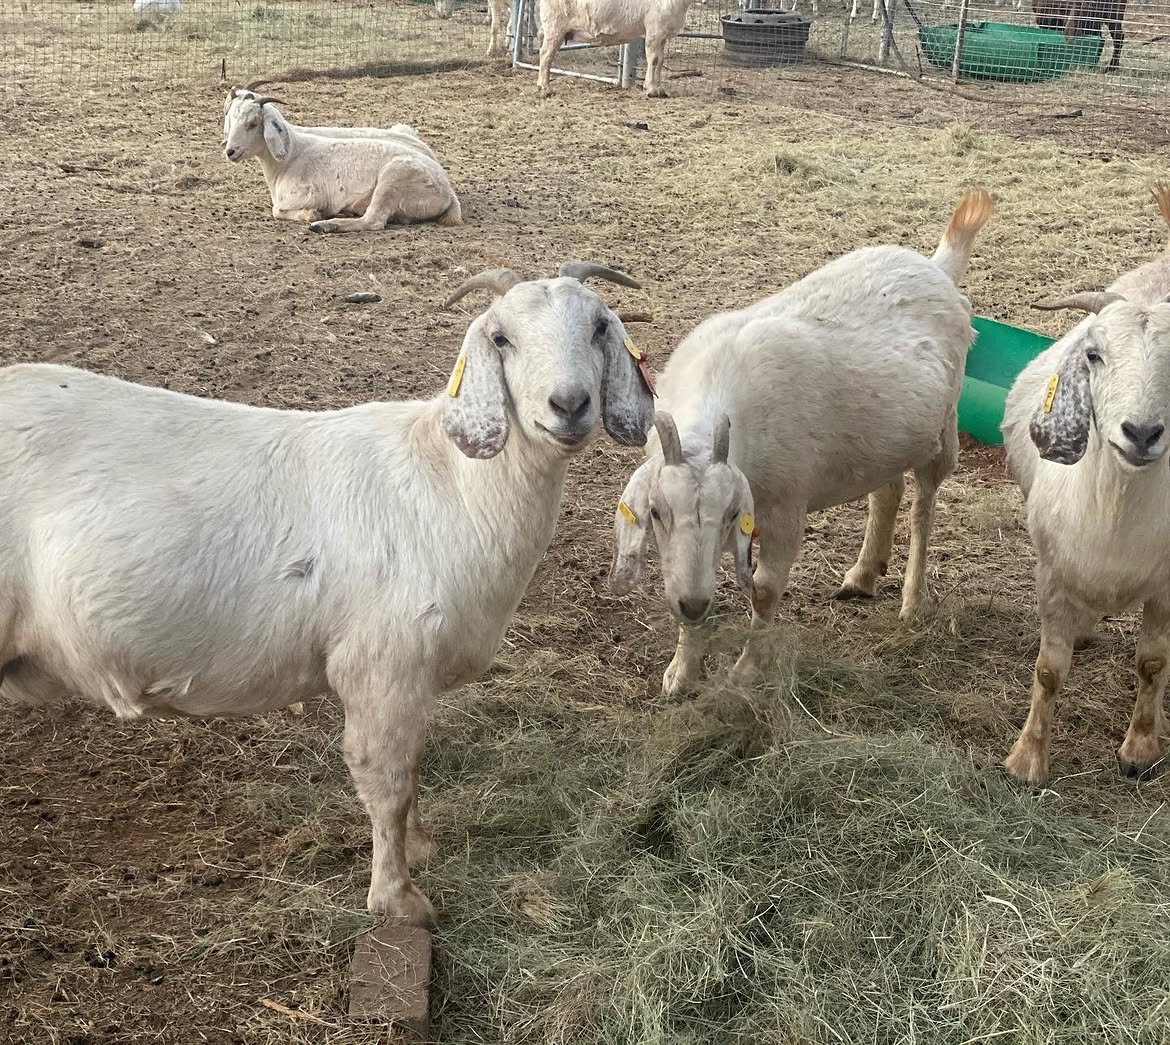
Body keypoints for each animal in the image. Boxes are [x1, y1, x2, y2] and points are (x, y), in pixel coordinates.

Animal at [0, 263, 654, 924]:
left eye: (600, 327)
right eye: (501, 338)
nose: (569, 405)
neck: (453, 486)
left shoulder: (412, 676)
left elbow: (413, 764)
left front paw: (419, 846)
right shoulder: (381, 664)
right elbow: (386, 780)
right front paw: (398, 898)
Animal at [222, 92, 461, 234]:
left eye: (253, 123)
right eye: (230, 119)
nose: (230, 151)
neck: (290, 156)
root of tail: (447, 191)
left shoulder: (309, 194)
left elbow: (277, 210)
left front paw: (312, 215)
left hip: (394, 180)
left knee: (373, 221)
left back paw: (324, 225)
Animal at [535, 0, 698, 97]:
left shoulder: (662, 35)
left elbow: (659, 62)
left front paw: (658, 89)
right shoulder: (654, 30)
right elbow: (654, 61)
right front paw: (651, 90)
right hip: (555, 25)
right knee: (545, 54)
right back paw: (545, 88)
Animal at [609, 191, 993, 695]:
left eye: (731, 514)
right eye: (655, 512)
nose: (690, 606)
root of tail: (936, 266)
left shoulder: (786, 507)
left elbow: (765, 588)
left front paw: (747, 671)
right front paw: (681, 672)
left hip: (943, 427)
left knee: (924, 507)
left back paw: (912, 601)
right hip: (880, 440)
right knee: (886, 491)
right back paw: (862, 575)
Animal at [1001, 293, 1170, 785]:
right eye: (1093, 355)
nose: (1142, 433)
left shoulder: (1166, 587)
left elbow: (1153, 663)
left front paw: (1141, 749)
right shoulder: (1053, 575)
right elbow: (1048, 671)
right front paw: (1028, 760)